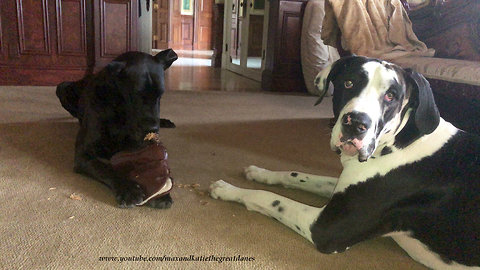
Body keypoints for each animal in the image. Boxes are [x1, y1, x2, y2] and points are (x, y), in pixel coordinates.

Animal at [56, 49, 176, 209]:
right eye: (136, 95)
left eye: (160, 95)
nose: (153, 129)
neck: (119, 110)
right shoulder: (83, 155)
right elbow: (106, 169)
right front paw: (128, 189)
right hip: (62, 88)